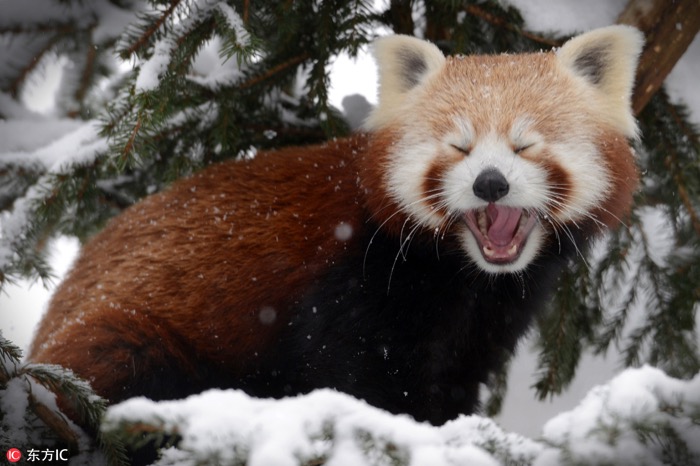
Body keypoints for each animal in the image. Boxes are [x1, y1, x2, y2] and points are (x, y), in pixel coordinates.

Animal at [27, 25, 640, 426]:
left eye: (525, 145)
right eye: (459, 147)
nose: (491, 184)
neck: (462, 275)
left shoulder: (490, 318)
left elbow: (454, 380)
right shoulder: (355, 283)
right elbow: (353, 374)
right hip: (124, 338)